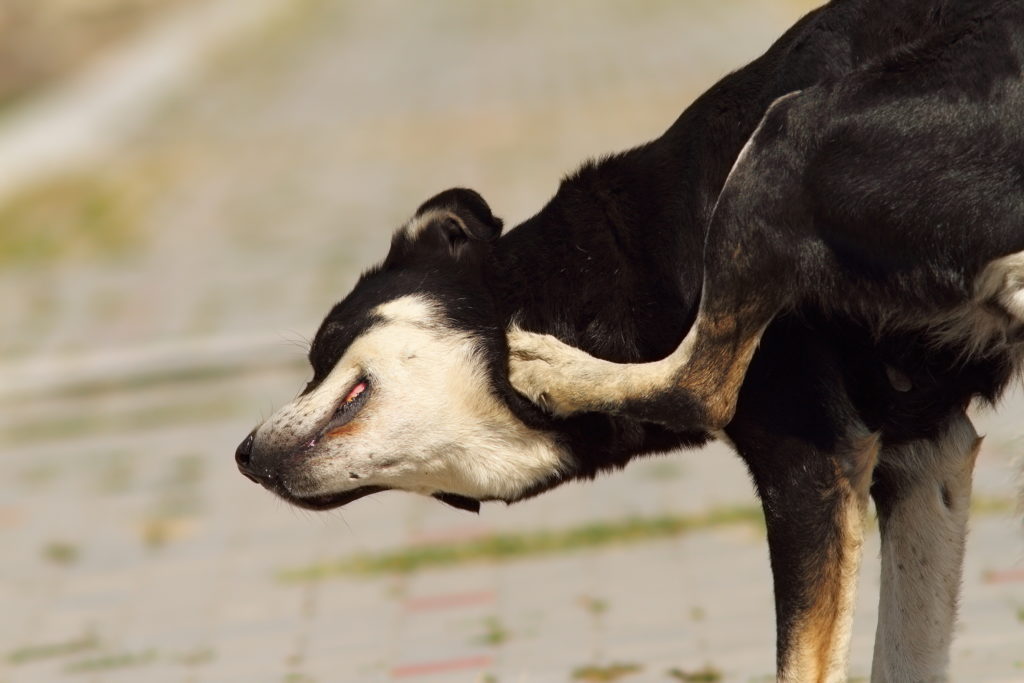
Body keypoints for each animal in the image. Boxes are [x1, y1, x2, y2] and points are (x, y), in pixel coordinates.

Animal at [234, 2, 1024, 679]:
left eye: (322, 349)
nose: (241, 455)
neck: (599, 270)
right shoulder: (926, 459)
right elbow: (905, 655)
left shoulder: (813, 466)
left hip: (787, 135)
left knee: (698, 387)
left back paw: (553, 368)